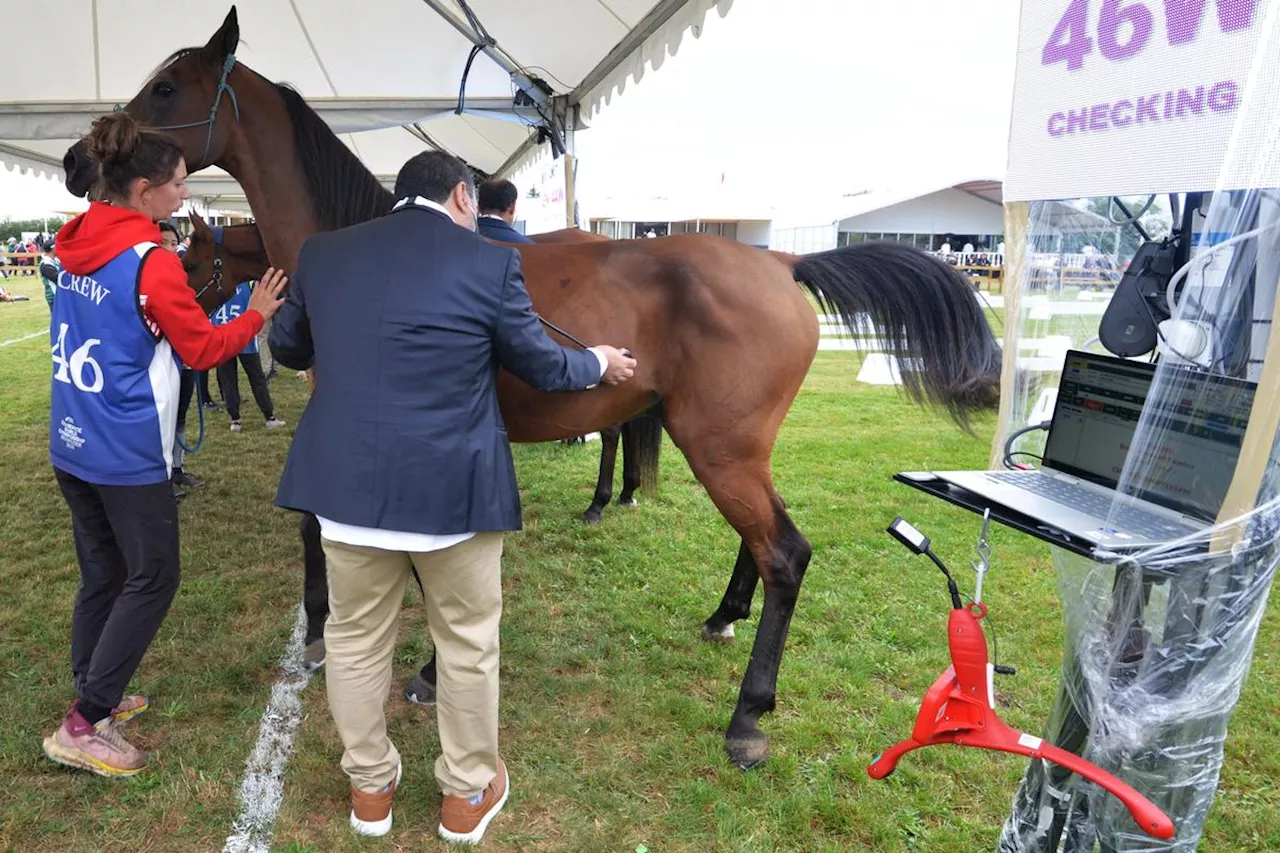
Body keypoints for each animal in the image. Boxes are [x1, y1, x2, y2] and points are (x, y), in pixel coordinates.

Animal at [64, 6, 1003, 768]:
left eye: (166, 86)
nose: (78, 162)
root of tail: (781, 261)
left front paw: (369, 649)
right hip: (734, 447)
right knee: (765, 542)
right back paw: (722, 614)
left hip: (721, 447)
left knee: (787, 553)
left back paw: (747, 718)